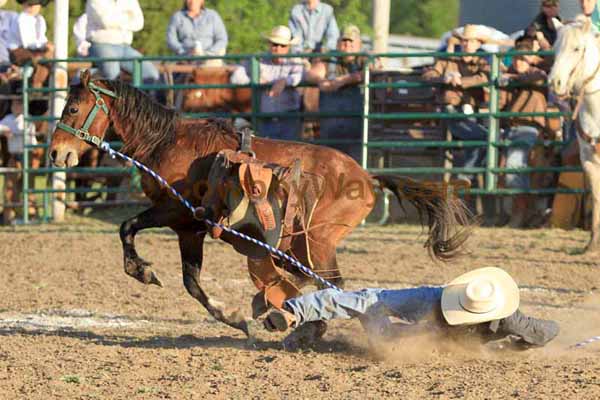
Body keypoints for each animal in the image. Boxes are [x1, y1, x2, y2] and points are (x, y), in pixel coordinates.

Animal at [49, 72, 472, 346]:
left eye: (72, 108)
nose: (56, 153)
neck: (167, 142)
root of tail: (366, 176)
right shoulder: (190, 229)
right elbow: (192, 282)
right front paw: (234, 318)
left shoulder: (176, 212)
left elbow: (127, 228)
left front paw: (142, 270)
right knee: (317, 280)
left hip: (317, 240)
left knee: (332, 282)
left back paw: (313, 329)